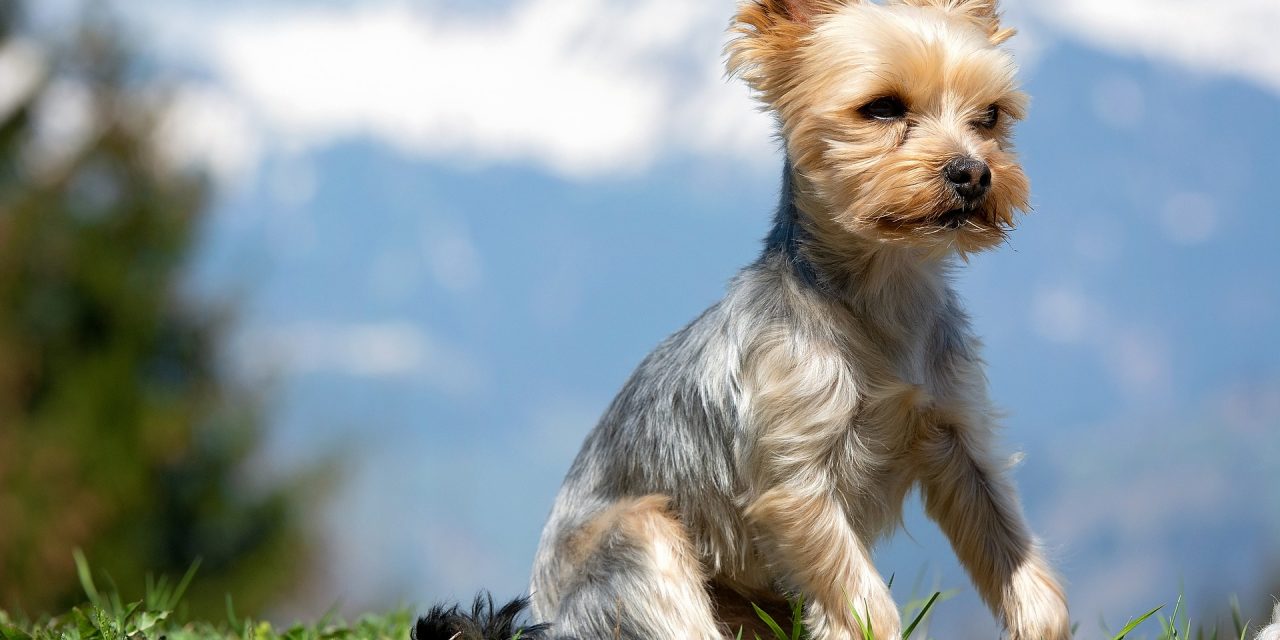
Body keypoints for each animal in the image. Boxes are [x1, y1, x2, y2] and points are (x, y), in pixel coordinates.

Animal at [417, 1, 1070, 640]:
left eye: (991, 115)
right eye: (882, 107)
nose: (974, 172)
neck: (883, 292)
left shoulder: (960, 438)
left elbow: (1022, 568)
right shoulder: (795, 480)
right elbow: (861, 605)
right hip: (639, 540)